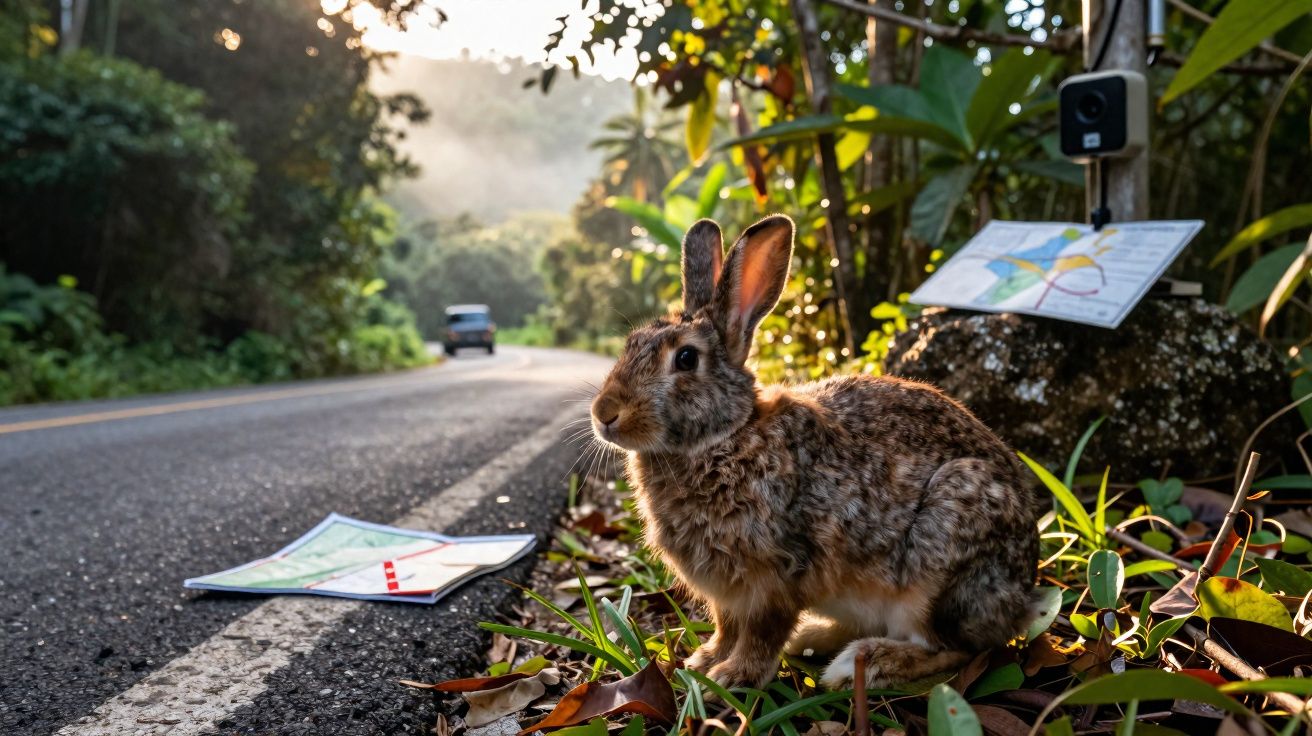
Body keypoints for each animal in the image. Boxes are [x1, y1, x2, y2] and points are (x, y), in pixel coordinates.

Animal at [589, 214, 1042, 691]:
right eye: (631, 343)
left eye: (686, 359)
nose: (604, 414)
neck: (726, 438)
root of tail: (1022, 594)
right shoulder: (727, 594)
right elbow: (726, 626)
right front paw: (702, 662)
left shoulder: (779, 574)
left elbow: (762, 630)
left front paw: (733, 676)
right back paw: (815, 637)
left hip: (943, 556)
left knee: (951, 648)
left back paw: (863, 662)